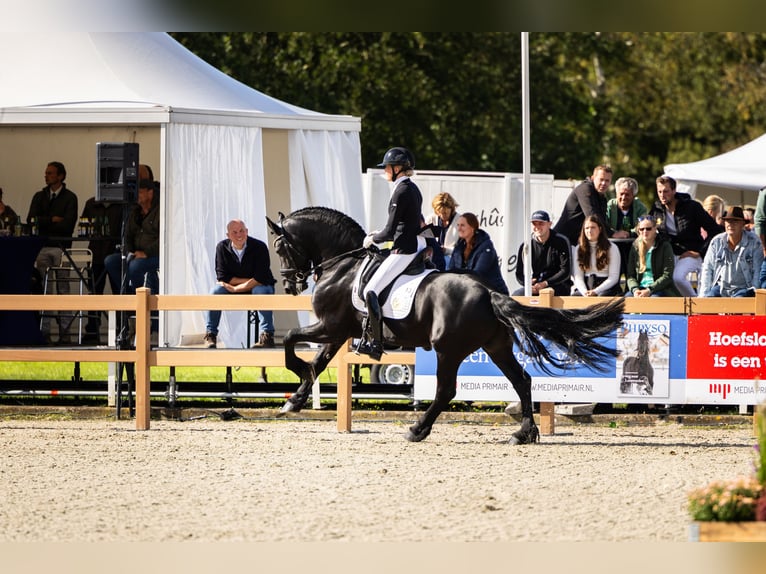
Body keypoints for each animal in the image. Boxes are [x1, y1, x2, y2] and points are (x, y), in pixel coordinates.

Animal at [268, 208, 628, 446]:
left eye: (280, 247)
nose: (288, 285)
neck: (343, 264)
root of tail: (488, 292)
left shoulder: (330, 326)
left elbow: (292, 342)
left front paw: (293, 382)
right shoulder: (339, 332)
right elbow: (317, 362)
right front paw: (295, 400)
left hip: (447, 349)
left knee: (446, 391)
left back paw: (417, 429)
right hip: (495, 346)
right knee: (522, 380)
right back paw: (523, 433)